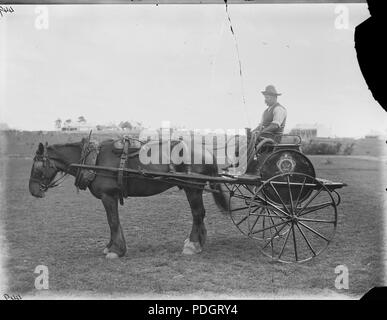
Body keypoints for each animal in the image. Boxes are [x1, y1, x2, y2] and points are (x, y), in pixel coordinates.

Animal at [30, 139, 232, 258]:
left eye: (38, 167)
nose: (33, 191)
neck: (94, 160)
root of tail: (206, 151)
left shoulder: (108, 196)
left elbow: (112, 221)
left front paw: (115, 250)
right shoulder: (112, 197)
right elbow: (115, 222)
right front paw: (113, 246)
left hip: (193, 188)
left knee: (198, 213)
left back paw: (193, 244)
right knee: (199, 215)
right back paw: (199, 241)